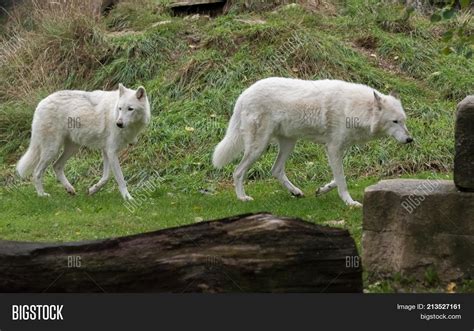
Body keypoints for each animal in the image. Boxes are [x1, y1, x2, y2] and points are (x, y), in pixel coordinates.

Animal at [17, 84, 150, 201]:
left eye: (130, 109)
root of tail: (41, 103)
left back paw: (70, 189)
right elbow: (120, 179)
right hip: (52, 150)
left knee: (56, 166)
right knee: (37, 172)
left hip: (72, 149)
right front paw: (128, 198)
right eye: (120, 108)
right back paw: (42, 195)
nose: (119, 123)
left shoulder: (107, 151)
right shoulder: (111, 151)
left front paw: (92, 190)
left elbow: (106, 178)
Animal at [213, 78, 412, 208]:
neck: (355, 108)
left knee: (275, 170)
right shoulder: (333, 149)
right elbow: (342, 180)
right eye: (395, 122)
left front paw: (322, 189)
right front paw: (350, 202)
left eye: (404, 121)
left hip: (289, 144)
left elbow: (339, 178)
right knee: (238, 171)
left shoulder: (338, 150)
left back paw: (295, 192)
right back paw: (242, 198)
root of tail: (243, 94)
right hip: (258, 148)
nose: (410, 139)